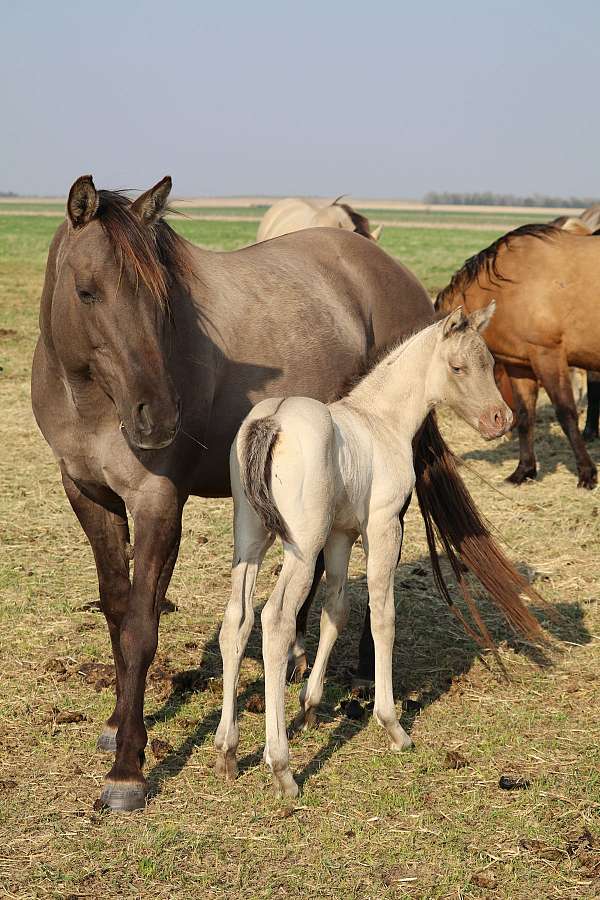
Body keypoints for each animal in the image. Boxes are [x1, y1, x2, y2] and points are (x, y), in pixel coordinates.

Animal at [219, 306, 544, 800]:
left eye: (490, 363)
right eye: (457, 367)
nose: (498, 419)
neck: (380, 419)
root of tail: (271, 422)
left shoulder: (340, 535)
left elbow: (336, 611)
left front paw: (309, 707)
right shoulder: (383, 525)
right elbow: (382, 616)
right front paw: (393, 726)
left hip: (250, 537)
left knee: (237, 620)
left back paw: (228, 750)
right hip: (301, 544)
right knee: (275, 620)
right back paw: (282, 767)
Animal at [436, 225, 600, 492]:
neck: (512, 286)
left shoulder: (548, 356)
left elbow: (566, 413)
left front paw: (586, 473)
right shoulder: (520, 367)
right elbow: (525, 416)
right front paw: (523, 471)